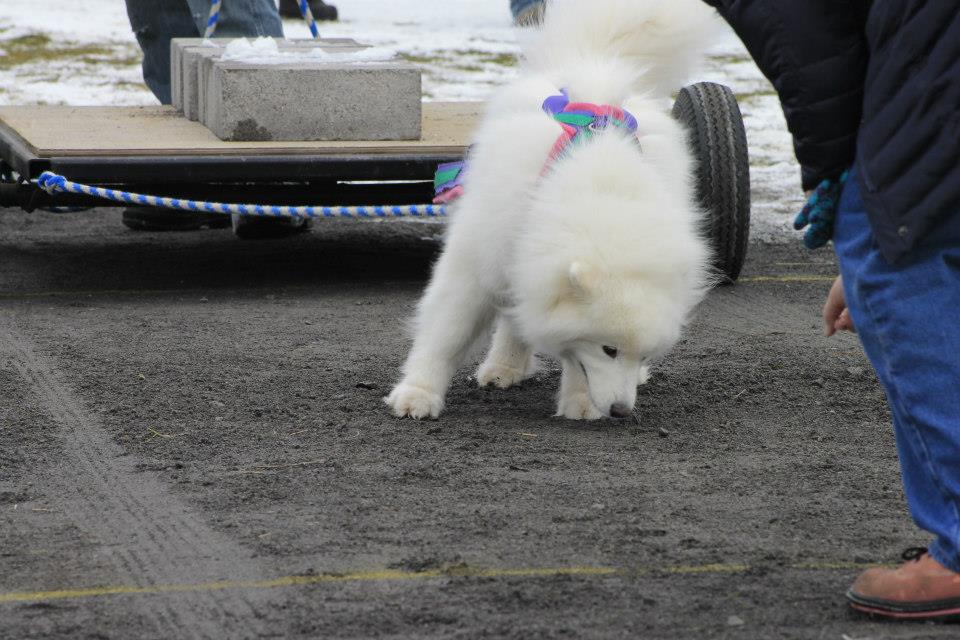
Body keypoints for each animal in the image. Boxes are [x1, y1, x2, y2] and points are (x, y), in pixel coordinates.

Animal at [386, 0, 716, 420]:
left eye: (644, 352)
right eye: (609, 349)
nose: (621, 411)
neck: (601, 196)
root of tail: (596, 61)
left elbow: (570, 355)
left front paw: (580, 401)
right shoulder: (479, 260)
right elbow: (447, 333)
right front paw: (417, 394)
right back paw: (504, 367)